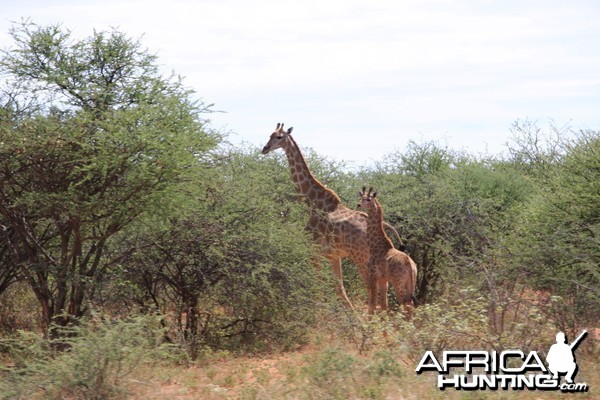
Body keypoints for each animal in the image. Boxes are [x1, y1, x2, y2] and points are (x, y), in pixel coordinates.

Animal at [262, 122, 404, 310]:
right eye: (269, 135)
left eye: (279, 137)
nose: (264, 148)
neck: (313, 202)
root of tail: (384, 231)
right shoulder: (333, 255)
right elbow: (339, 287)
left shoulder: (314, 251)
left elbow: (318, 285)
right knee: (382, 287)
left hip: (361, 258)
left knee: (371, 286)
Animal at [356, 187, 418, 316]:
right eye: (361, 197)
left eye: (368, 199)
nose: (358, 204)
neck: (376, 245)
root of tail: (410, 265)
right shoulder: (383, 280)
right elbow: (384, 305)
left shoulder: (373, 276)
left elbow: (373, 304)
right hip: (411, 282)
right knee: (410, 303)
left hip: (398, 283)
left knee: (405, 303)